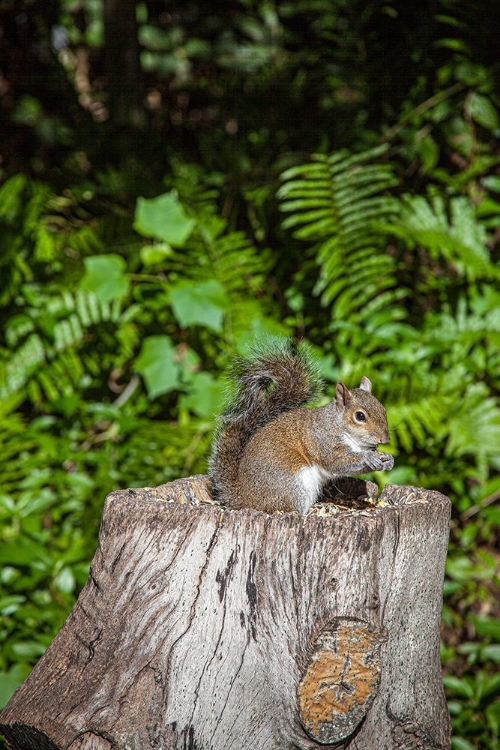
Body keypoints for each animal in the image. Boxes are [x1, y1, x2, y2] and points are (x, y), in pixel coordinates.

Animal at [208, 342, 394, 516]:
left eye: (383, 409)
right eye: (360, 416)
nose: (385, 440)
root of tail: (243, 498)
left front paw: (387, 460)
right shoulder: (323, 440)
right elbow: (337, 461)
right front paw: (368, 457)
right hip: (292, 484)